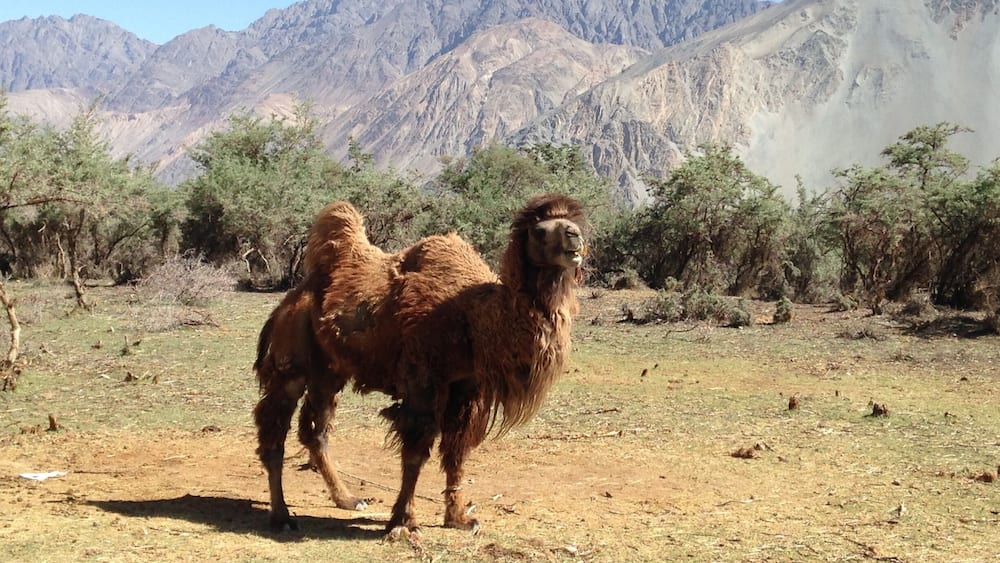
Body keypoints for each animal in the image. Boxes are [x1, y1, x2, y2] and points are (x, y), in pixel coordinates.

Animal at [253, 193, 587, 537]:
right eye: (540, 231)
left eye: (573, 223)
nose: (575, 237)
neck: (473, 317)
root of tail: (293, 296)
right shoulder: (423, 379)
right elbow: (415, 451)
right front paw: (403, 522)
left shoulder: (467, 387)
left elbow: (456, 451)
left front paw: (459, 518)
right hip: (291, 360)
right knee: (274, 429)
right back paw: (282, 516)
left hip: (330, 372)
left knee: (315, 429)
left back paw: (348, 499)